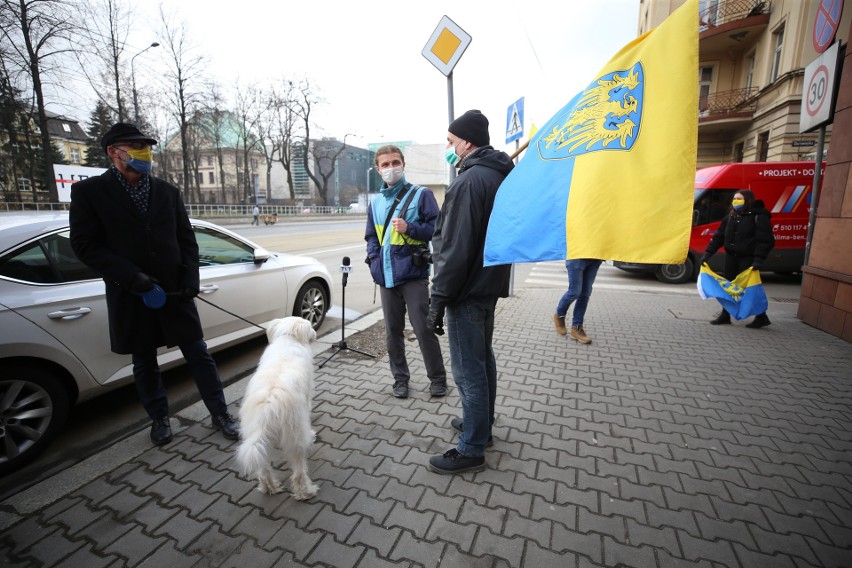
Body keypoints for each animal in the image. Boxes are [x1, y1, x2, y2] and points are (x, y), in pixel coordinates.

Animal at [236, 318, 320, 500]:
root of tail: (268, 408)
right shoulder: (307, 395)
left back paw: (270, 488)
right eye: (310, 326)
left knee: (263, 469)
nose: (315, 333)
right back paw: (306, 492)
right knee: (298, 471)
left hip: (255, 438)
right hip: (295, 435)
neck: (288, 339)